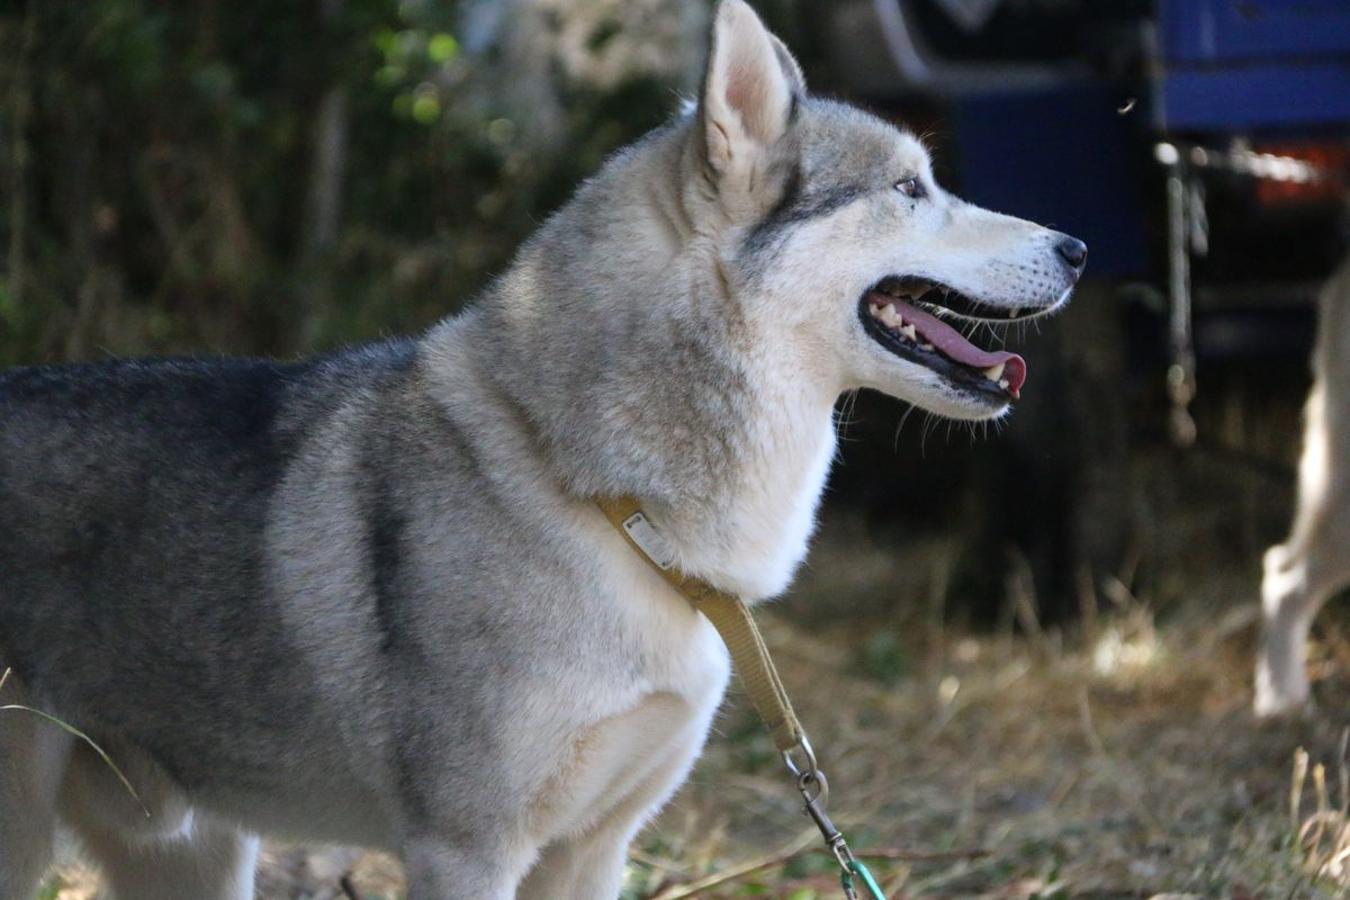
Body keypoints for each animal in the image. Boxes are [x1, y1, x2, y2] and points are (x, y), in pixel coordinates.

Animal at [0, 3, 1080, 895]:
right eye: (911, 188)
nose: (1076, 248)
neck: (612, 509)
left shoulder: (594, 851)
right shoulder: (467, 853)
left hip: (196, 857)